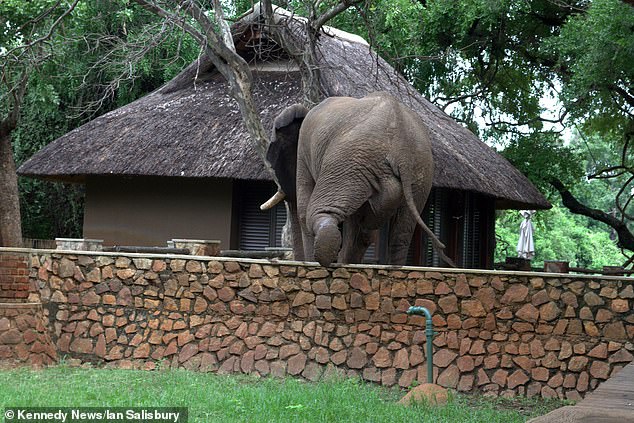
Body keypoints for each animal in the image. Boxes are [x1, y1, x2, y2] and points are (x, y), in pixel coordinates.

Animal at [260, 91, 452, 266]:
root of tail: (402, 145)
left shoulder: (303, 154)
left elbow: (303, 210)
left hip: (350, 158)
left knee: (318, 213)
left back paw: (327, 260)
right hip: (419, 172)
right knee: (400, 233)